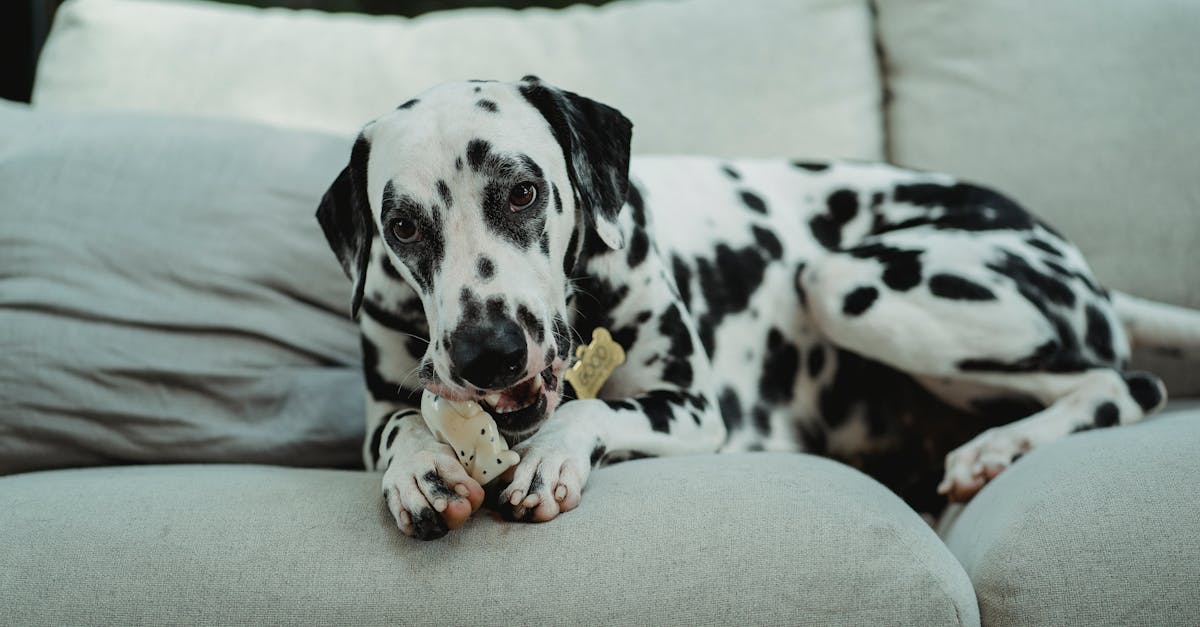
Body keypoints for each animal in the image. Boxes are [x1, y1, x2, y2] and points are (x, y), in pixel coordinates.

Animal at [319, 76, 1200, 535]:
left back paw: (998, 447)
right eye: (404, 225)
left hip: (851, 285)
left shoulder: (692, 405)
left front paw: (551, 455)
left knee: (1123, 382)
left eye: (522, 190)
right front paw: (420, 470)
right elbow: (404, 425)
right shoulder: (384, 408)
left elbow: (593, 408)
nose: (489, 351)